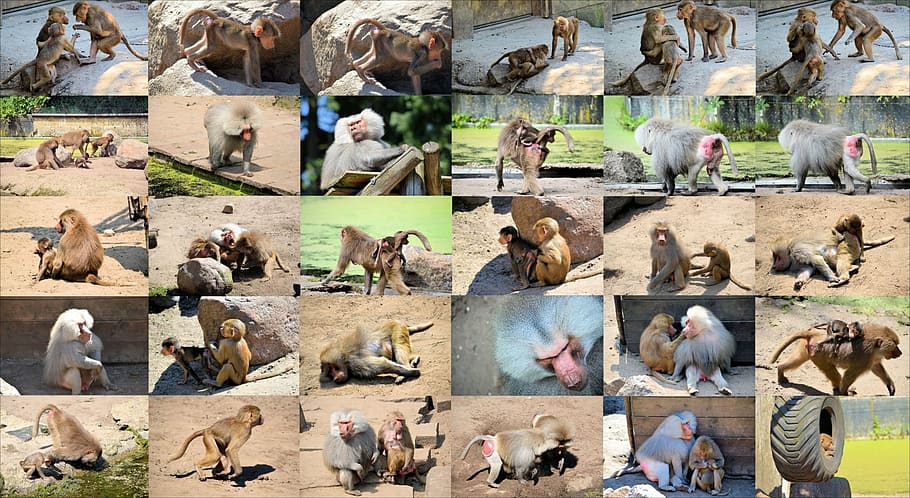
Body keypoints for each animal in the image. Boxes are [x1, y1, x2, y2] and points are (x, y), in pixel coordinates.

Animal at [771, 323, 902, 396]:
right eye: (895, 345)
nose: (900, 353)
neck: (875, 346)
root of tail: (814, 333)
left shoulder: (871, 358)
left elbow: (876, 367)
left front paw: (890, 385)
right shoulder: (865, 357)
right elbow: (850, 374)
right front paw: (844, 392)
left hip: (809, 349)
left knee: (798, 360)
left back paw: (780, 369)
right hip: (818, 354)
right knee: (831, 371)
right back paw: (839, 390)